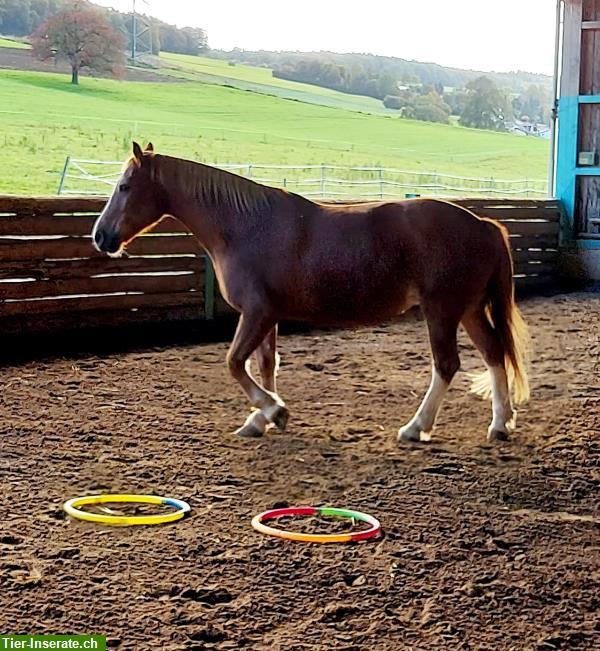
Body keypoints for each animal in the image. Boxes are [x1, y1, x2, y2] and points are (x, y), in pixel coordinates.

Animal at [91, 144, 528, 444]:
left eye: (124, 186)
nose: (101, 236)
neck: (246, 226)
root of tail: (483, 224)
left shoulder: (257, 313)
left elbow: (235, 364)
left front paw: (273, 411)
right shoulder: (267, 316)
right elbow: (265, 366)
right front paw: (261, 418)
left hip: (441, 312)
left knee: (447, 364)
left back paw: (415, 427)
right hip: (467, 310)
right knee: (493, 353)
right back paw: (500, 423)